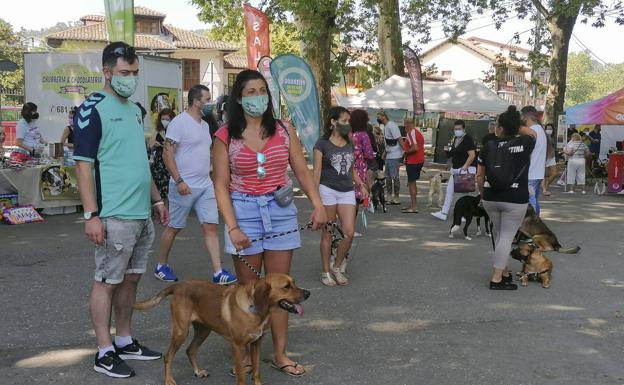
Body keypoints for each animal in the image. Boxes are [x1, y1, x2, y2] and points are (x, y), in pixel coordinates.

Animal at [133, 272, 308, 384]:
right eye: (286, 286)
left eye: (294, 282)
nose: (308, 293)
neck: (254, 309)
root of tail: (179, 285)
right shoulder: (237, 347)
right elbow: (241, 376)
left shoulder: (255, 343)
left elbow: (257, 372)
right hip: (181, 332)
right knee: (168, 356)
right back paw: (169, 380)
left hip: (203, 331)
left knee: (190, 350)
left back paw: (198, 372)